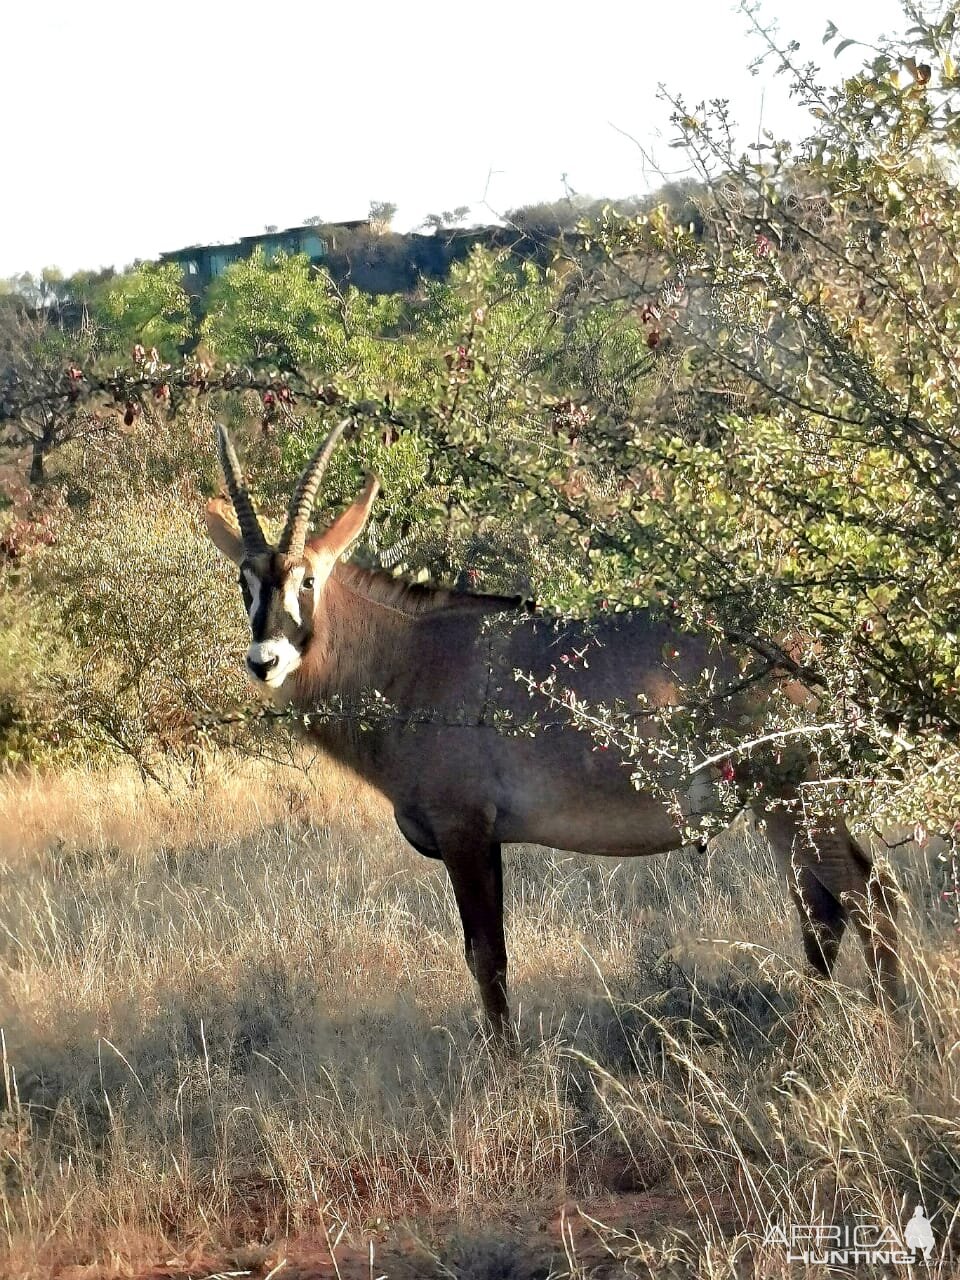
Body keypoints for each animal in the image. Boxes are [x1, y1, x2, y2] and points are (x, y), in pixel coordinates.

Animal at [207, 419, 906, 1039]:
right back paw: (807, 1032)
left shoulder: (465, 832)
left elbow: (487, 960)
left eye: (308, 579)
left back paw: (894, 1033)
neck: (407, 653)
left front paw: (506, 1076)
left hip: (793, 797)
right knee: (829, 908)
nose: (266, 660)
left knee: (866, 898)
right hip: (781, 807)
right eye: (245, 581)